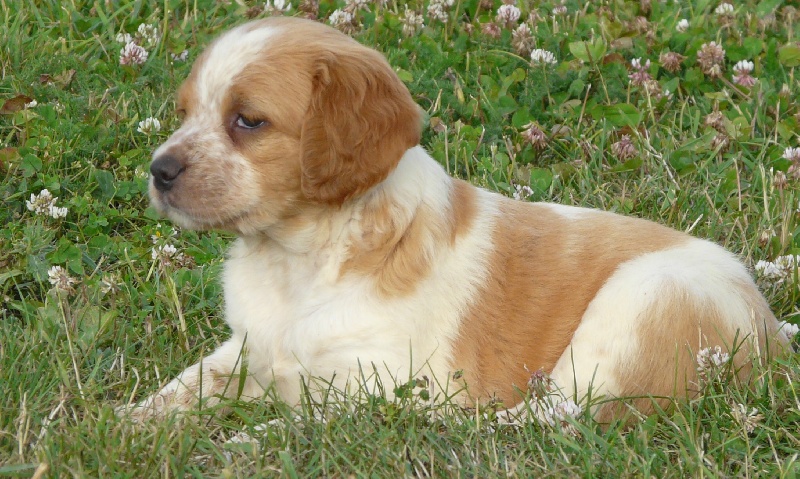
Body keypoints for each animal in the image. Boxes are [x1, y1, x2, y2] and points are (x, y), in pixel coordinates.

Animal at [128, 17, 791, 423]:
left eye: (249, 121)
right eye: (184, 114)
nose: (159, 171)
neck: (294, 260)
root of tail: (775, 336)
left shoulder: (370, 390)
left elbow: (284, 426)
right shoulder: (246, 349)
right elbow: (185, 386)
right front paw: (130, 424)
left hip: (639, 308)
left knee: (554, 417)